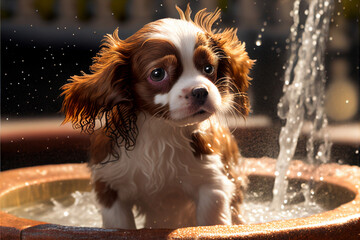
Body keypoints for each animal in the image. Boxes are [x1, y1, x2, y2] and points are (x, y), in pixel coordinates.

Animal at [61, 4, 253, 228]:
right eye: (158, 74)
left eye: (208, 68)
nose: (200, 91)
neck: (162, 129)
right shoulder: (109, 185)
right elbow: (121, 225)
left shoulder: (212, 183)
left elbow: (211, 222)